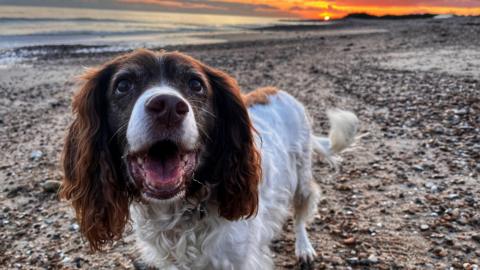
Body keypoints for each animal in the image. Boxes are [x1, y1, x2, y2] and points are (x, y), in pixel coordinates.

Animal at [62, 49, 358, 270]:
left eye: (196, 84)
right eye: (123, 85)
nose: (168, 107)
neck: (180, 211)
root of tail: (277, 91)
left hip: (301, 178)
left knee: (300, 214)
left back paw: (303, 247)